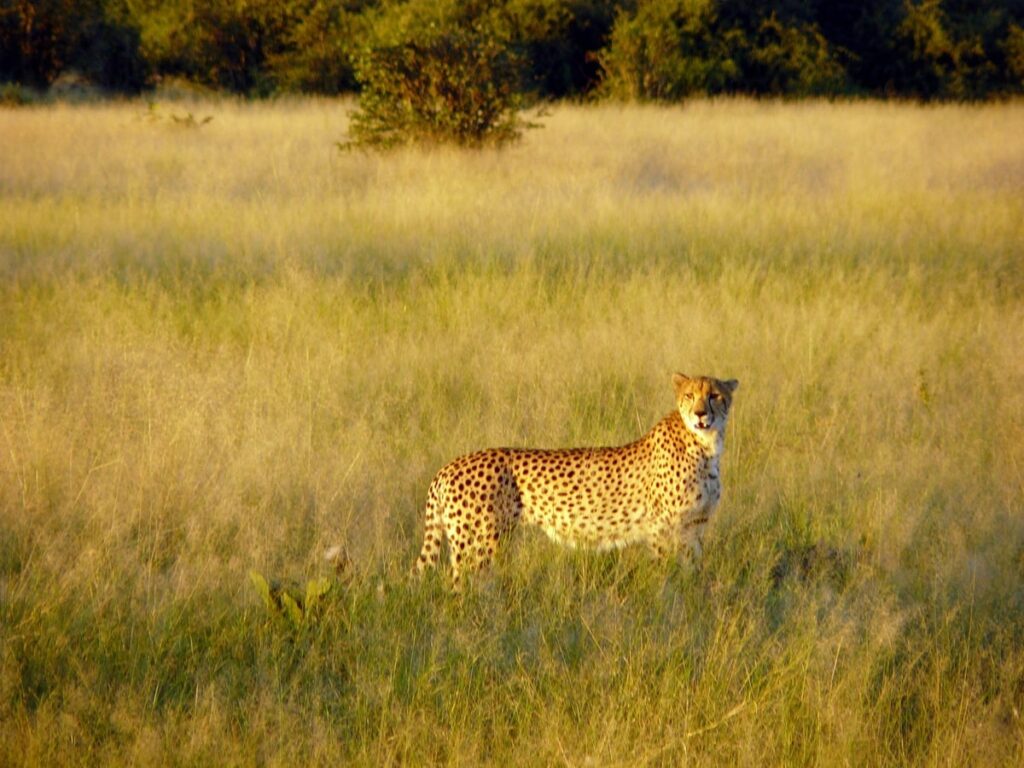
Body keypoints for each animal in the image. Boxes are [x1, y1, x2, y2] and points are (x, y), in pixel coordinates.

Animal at [411, 374, 741, 589]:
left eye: (715, 395)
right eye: (689, 395)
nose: (700, 414)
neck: (705, 446)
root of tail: (448, 466)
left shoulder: (694, 528)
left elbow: (692, 571)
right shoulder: (662, 529)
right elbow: (665, 573)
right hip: (478, 543)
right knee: (459, 585)